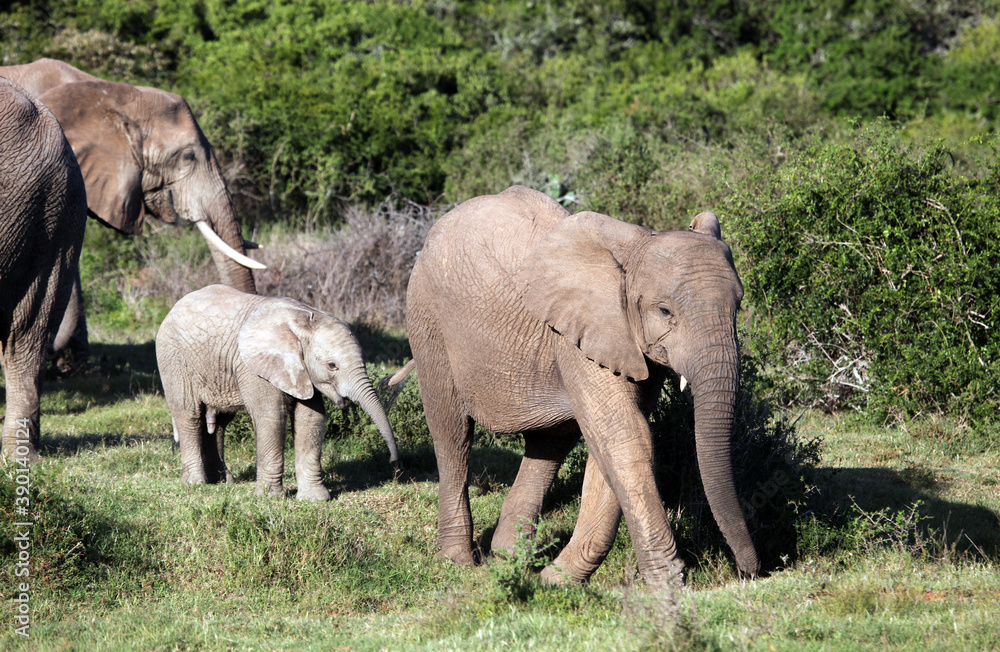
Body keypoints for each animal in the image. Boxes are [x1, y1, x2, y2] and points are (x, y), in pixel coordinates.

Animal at [155, 285, 401, 500]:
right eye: (332, 366)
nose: (394, 465)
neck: (304, 319)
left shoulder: (302, 371)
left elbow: (311, 419)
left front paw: (314, 499)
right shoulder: (255, 367)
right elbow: (271, 417)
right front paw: (268, 498)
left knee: (220, 422)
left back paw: (223, 481)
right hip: (173, 359)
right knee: (189, 414)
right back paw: (195, 483)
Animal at [402, 185, 759, 588]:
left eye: (738, 305)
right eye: (665, 311)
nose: (747, 571)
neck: (632, 249)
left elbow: (614, 444)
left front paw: (554, 580)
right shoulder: (582, 335)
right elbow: (625, 437)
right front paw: (668, 586)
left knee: (550, 442)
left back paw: (510, 558)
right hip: (426, 318)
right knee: (452, 435)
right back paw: (460, 561)